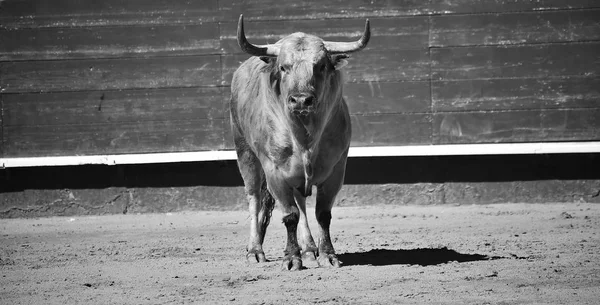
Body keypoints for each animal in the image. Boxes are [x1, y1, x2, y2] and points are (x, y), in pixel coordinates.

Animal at [230, 15, 370, 270]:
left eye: (321, 66)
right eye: (283, 67)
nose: (301, 100)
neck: (305, 136)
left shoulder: (337, 170)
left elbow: (322, 214)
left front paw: (327, 255)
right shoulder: (275, 172)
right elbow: (290, 215)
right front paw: (291, 258)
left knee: (302, 203)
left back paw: (310, 249)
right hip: (245, 153)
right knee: (254, 198)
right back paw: (255, 251)